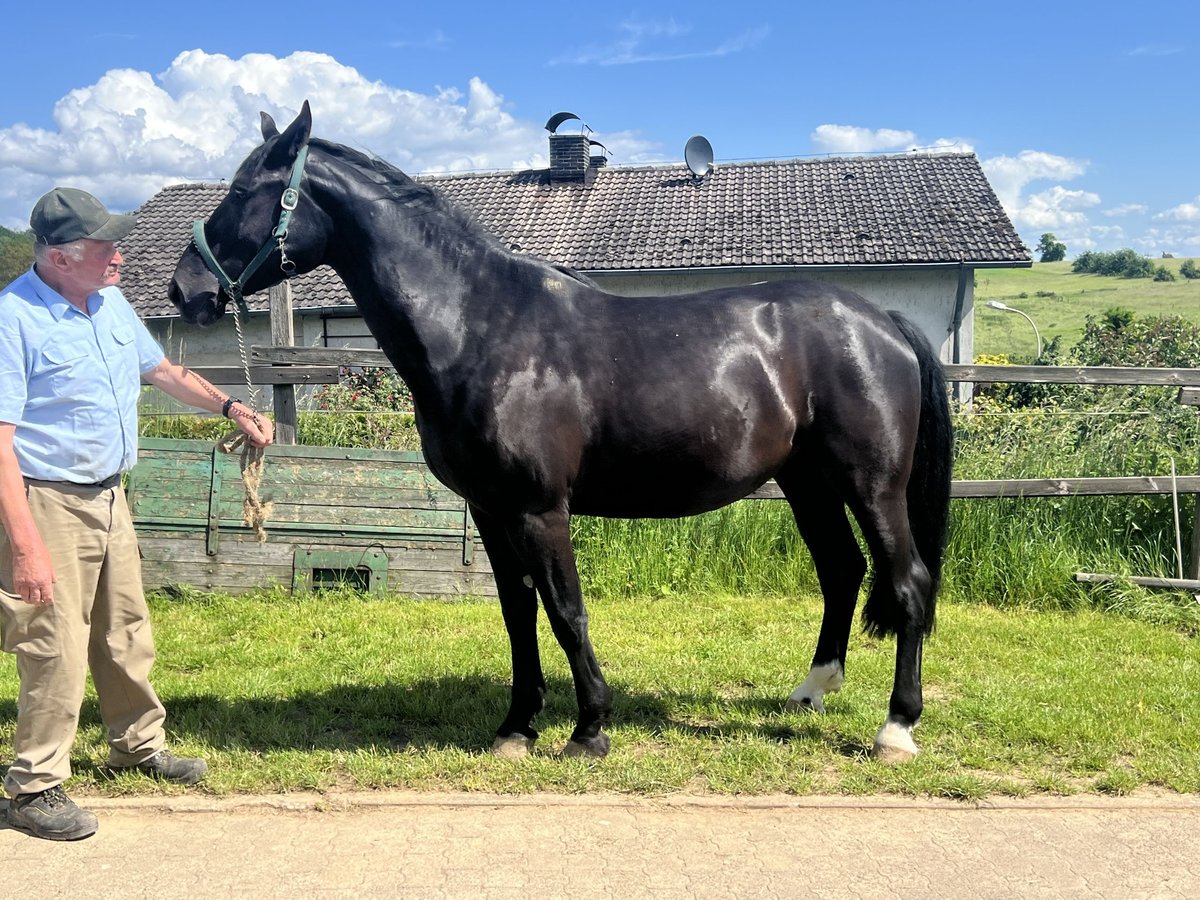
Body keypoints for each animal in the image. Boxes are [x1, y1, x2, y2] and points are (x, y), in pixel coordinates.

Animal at [171, 107, 955, 768]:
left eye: (245, 189)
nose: (185, 291)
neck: (483, 327)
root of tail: (880, 320)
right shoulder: (492, 510)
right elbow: (519, 614)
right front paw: (517, 727)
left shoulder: (541, 509)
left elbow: (565, 610)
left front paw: (590, 729)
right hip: (806, 483)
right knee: (842, 572)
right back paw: (811, 692)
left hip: (871, 486)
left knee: (907, 582)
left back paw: (896, 728)